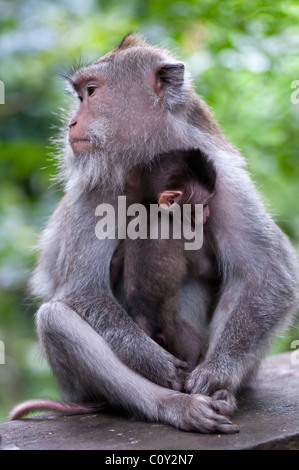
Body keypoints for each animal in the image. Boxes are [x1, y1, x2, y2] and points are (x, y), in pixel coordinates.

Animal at [123, 149, 217, 370]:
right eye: (205, 204)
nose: (208, 213)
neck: (156, 210)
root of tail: (144, 317)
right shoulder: (185, 231)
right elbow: (205, 269)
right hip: (175, 331)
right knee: (191, 348)